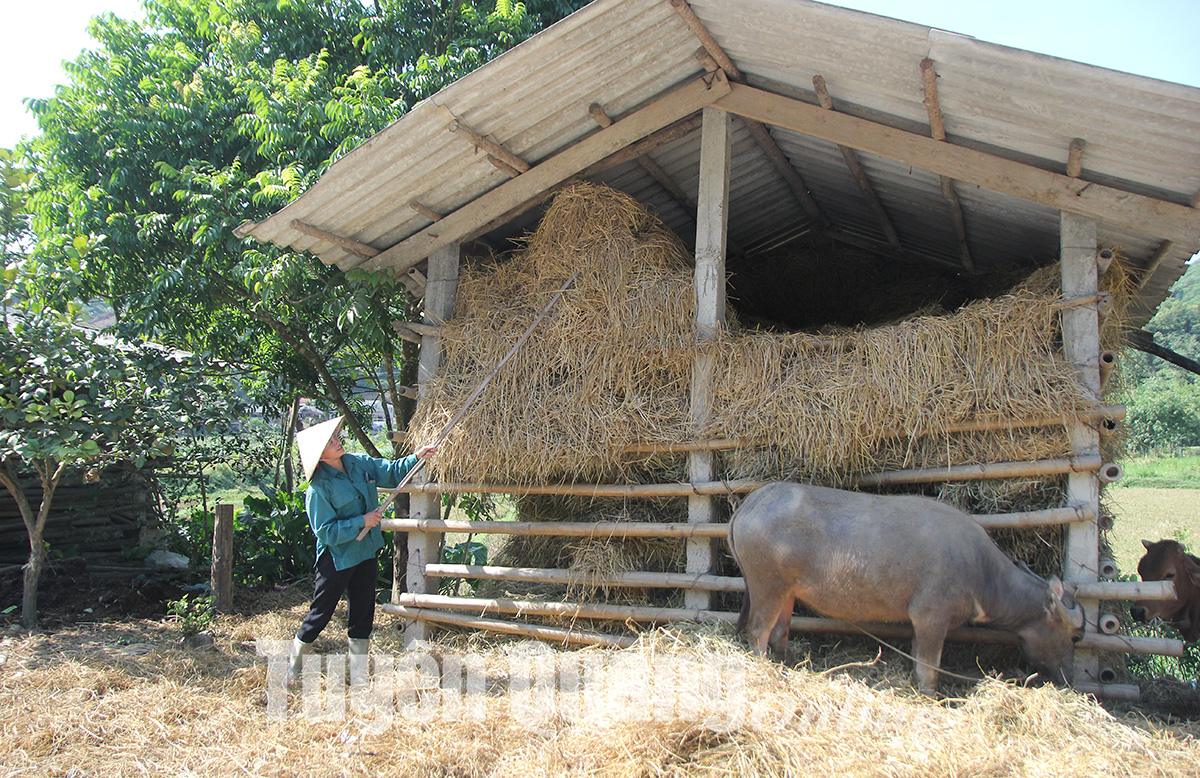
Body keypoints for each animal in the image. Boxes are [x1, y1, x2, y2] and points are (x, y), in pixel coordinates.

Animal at [729, 482, 1089, 696]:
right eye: (1075, 636)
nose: (1069, 678)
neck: (983, 572)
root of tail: (751, 503)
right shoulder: (931, 617)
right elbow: (929, 667)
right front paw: (931, 697)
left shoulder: (922, 623)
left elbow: (918, 659)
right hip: (768, 586)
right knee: (759, 631)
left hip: (787, 592)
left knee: (780, 631)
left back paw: (788, 665)